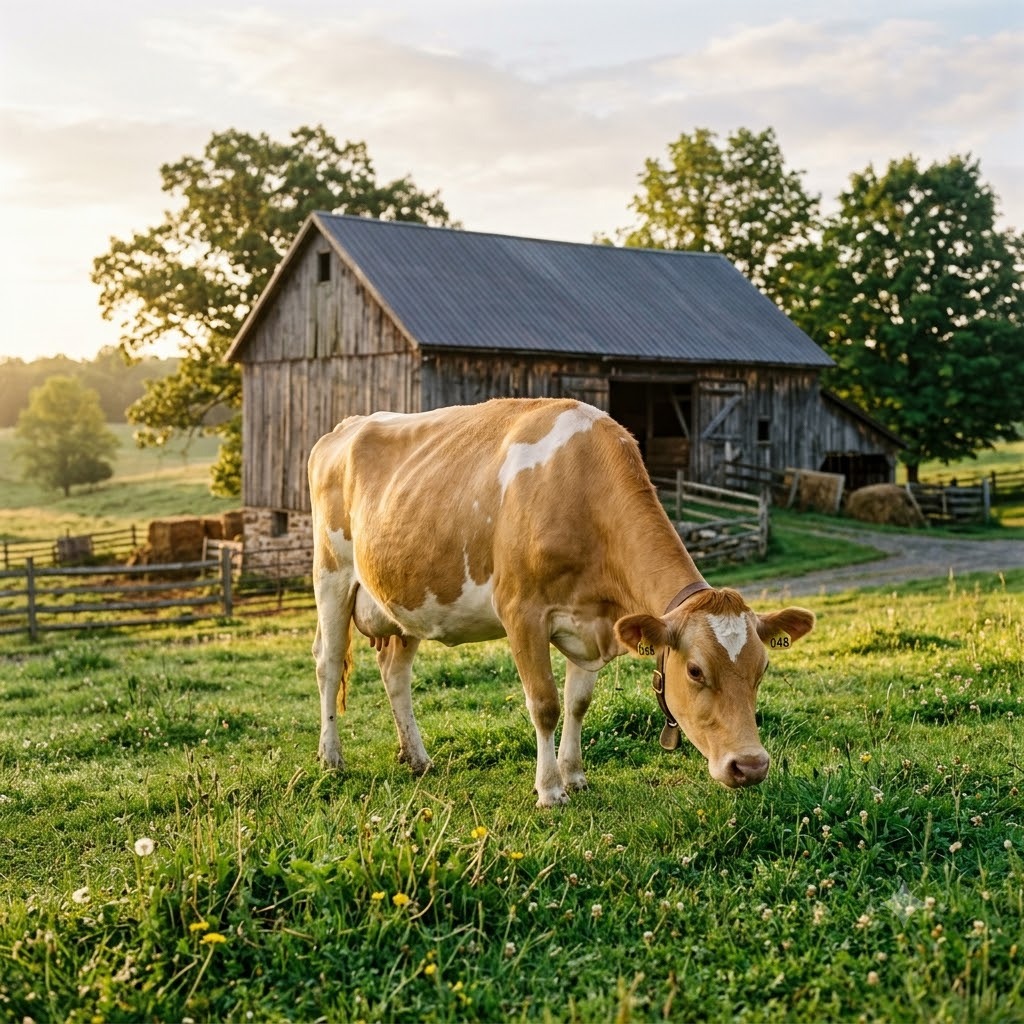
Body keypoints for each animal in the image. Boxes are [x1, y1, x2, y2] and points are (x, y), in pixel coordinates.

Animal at [308, 398, 814, 807]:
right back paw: (331, 758)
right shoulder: (521, 612)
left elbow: (578, 703)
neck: (582, 489)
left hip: (403, 599)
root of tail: (344, 427)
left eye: (762, 668)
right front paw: (549, 790)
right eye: (694, 671)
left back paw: (416, 758)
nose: (750, 766)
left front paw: (575, 777)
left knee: (396, 673)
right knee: (328, 663)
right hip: (331, 573)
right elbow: (546, 704)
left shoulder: (594, 623)